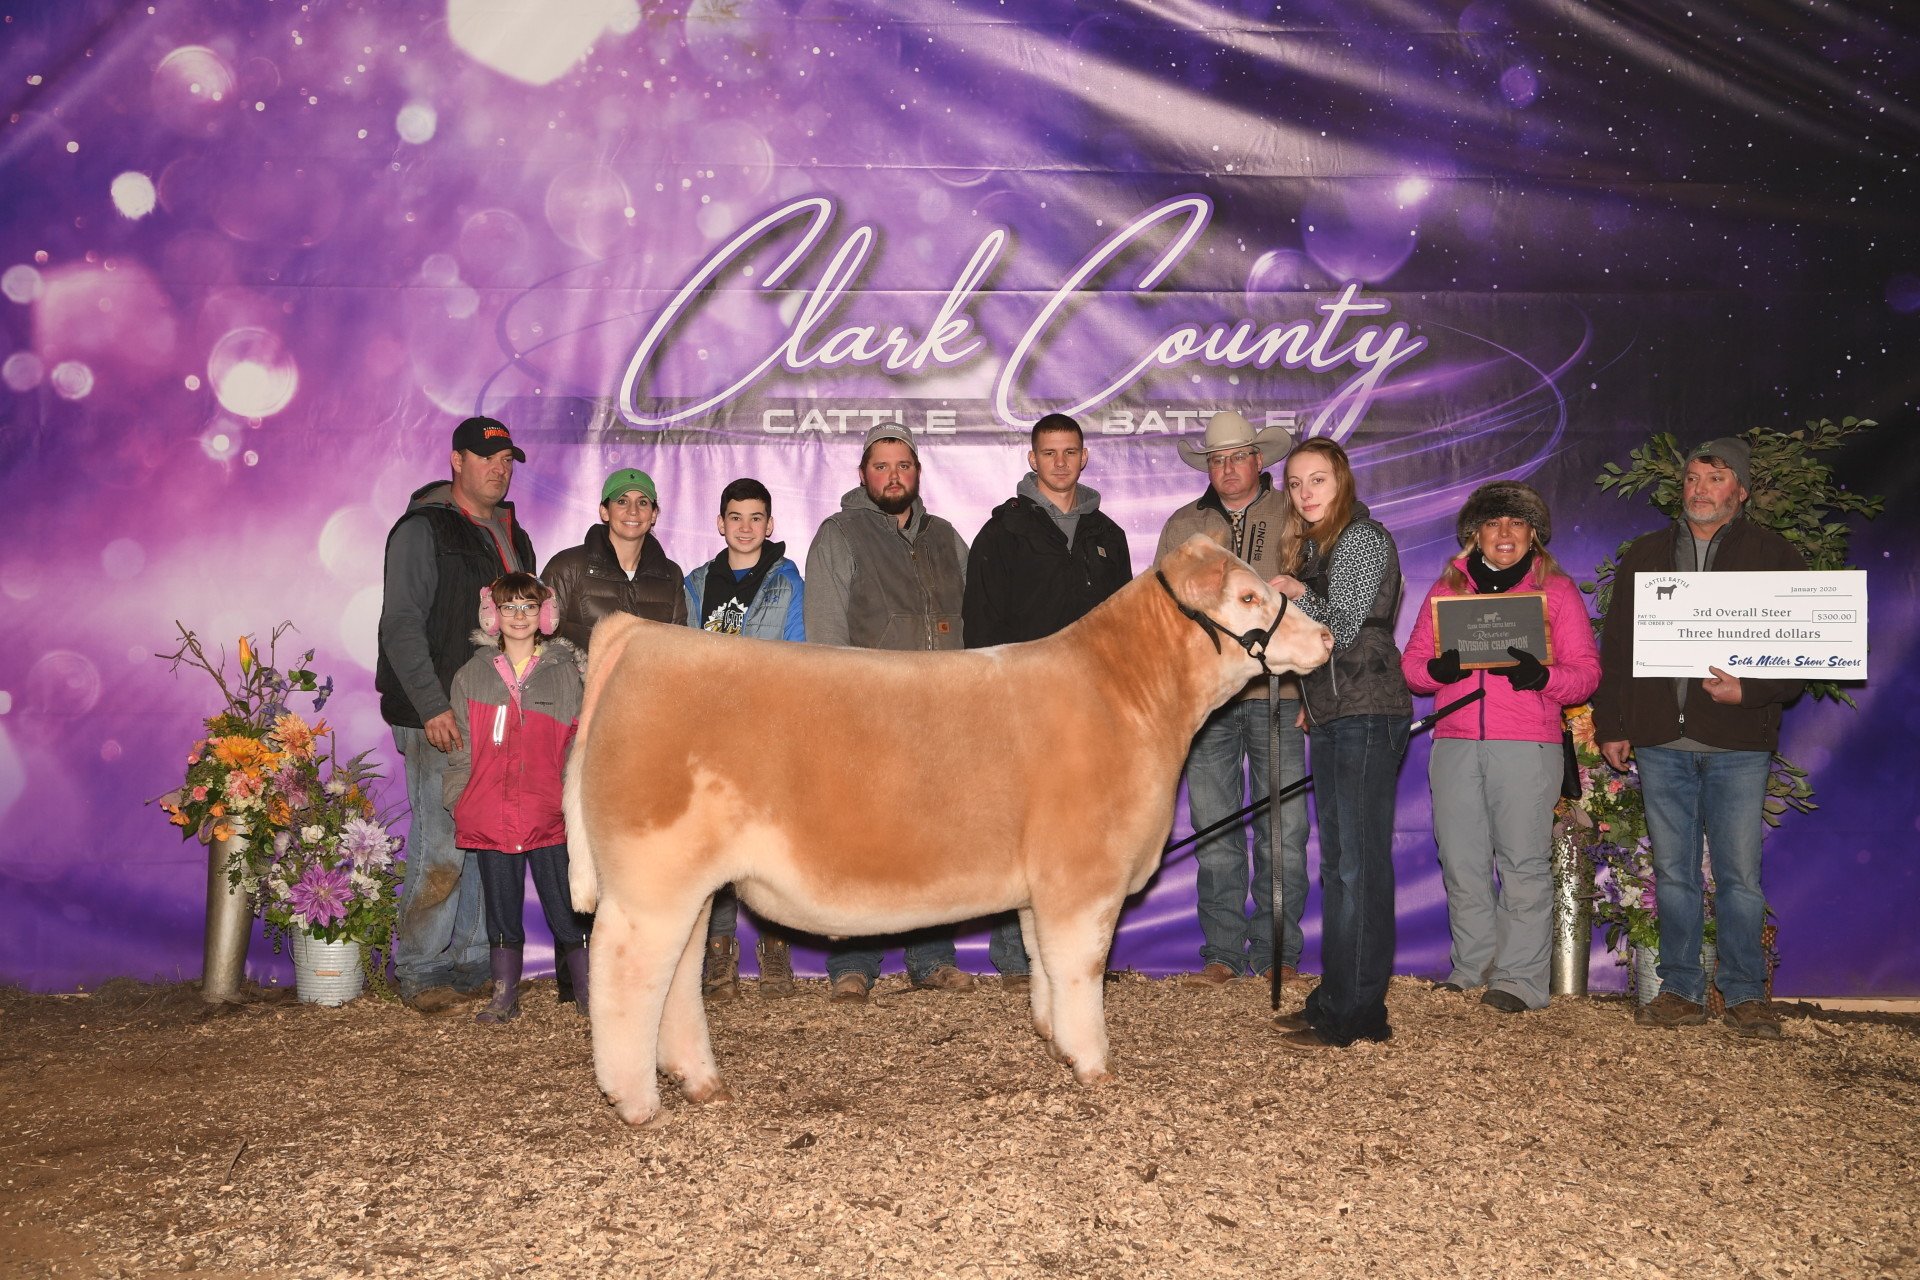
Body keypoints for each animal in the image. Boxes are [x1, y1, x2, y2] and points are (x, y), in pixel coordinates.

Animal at [562, 534, 1333, 1126]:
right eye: (1248, 598)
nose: (1327, 635)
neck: (1125, 697)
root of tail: (641, 637)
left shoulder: (1041, 885)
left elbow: (1043, 961)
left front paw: (1053, 1039)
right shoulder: (1083, 876)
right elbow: (1081, 969)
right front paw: (1093, 1065)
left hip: (689, 888)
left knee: (677, 979)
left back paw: (700, 1082)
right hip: (651, 881)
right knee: (626, 976)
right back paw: (636, 1103)